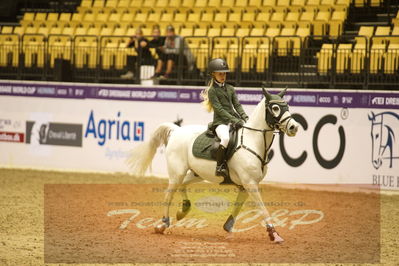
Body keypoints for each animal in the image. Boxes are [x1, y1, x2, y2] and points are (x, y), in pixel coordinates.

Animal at [128, 88, 300, 243]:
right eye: (275, 108)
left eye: (287, 106)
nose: (294, 127)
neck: (252, 140)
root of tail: (177, 131)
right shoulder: (250, 183)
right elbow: (263, 208)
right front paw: (274, 235)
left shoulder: (246, 185)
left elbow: (238, 206)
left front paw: (228, 227)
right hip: (177, 173)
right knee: (168, 195)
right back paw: (163, 225)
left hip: (196, 174)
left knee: (183, 186)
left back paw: (183, 210)